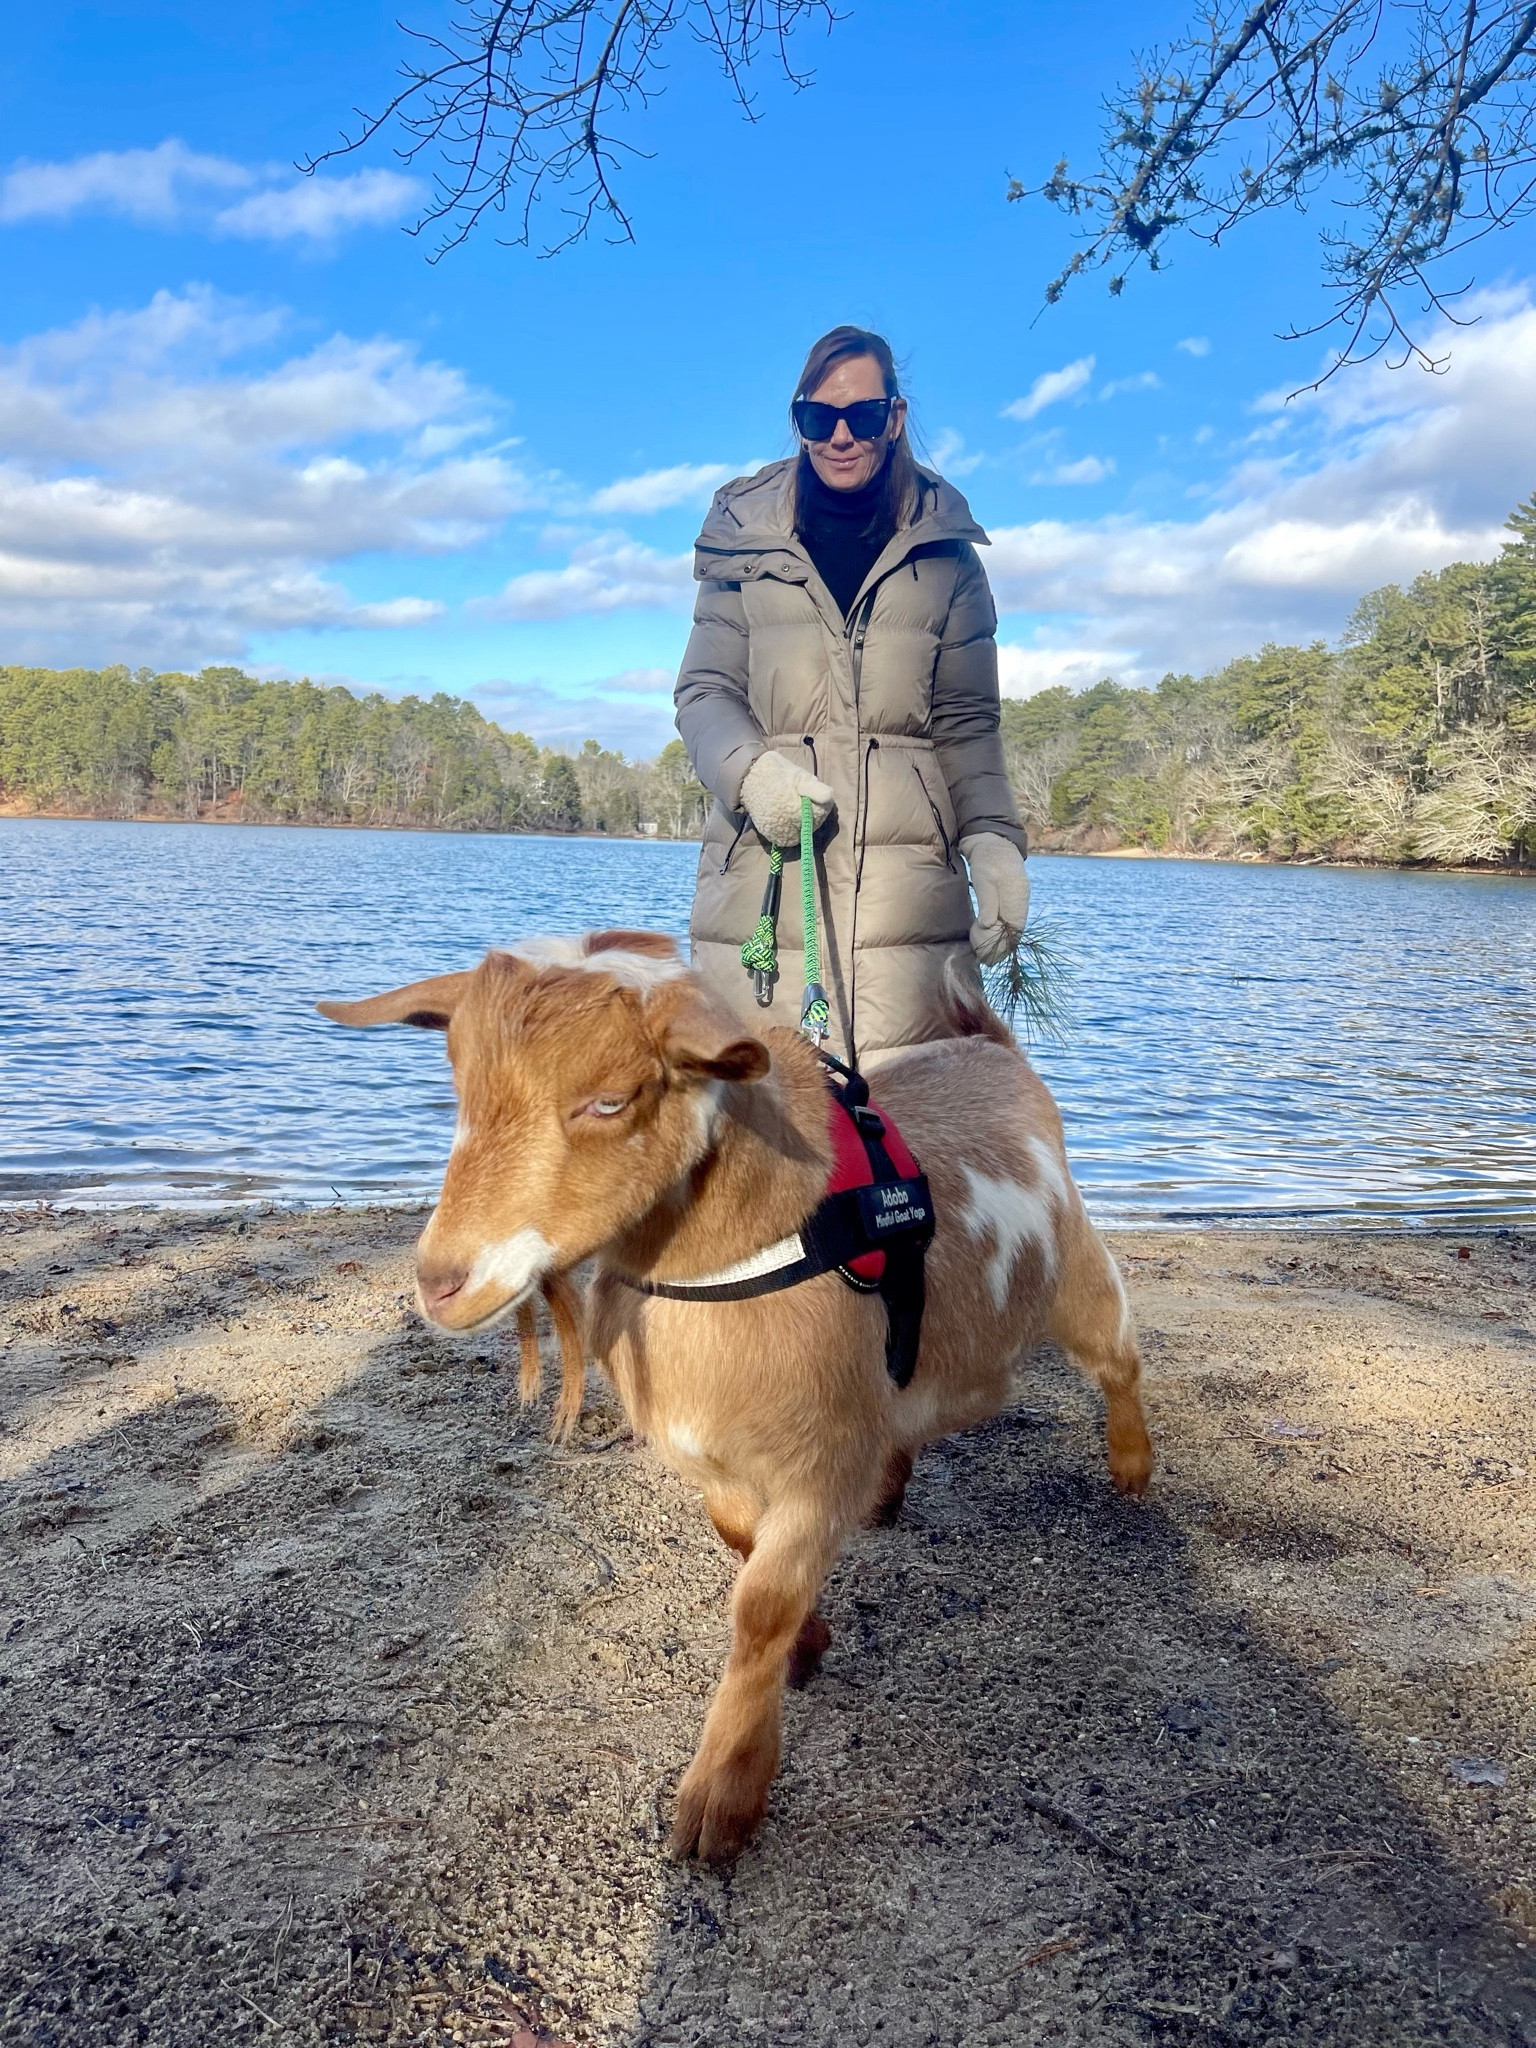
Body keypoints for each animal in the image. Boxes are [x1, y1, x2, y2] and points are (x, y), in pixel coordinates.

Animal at [319, 930, 1152, 1865]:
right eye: (458, 1084)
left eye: (609, 1100)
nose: (440, 1284)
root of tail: (990, 1047)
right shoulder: (716, 1455)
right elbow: (741, 1544)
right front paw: (811, 1643)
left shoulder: (821, 1459)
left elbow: (759, 1605)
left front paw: (724, 1795)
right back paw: (893, 1487)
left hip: (1076, 1274)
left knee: (1118, 1356)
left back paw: (1133, 1470)